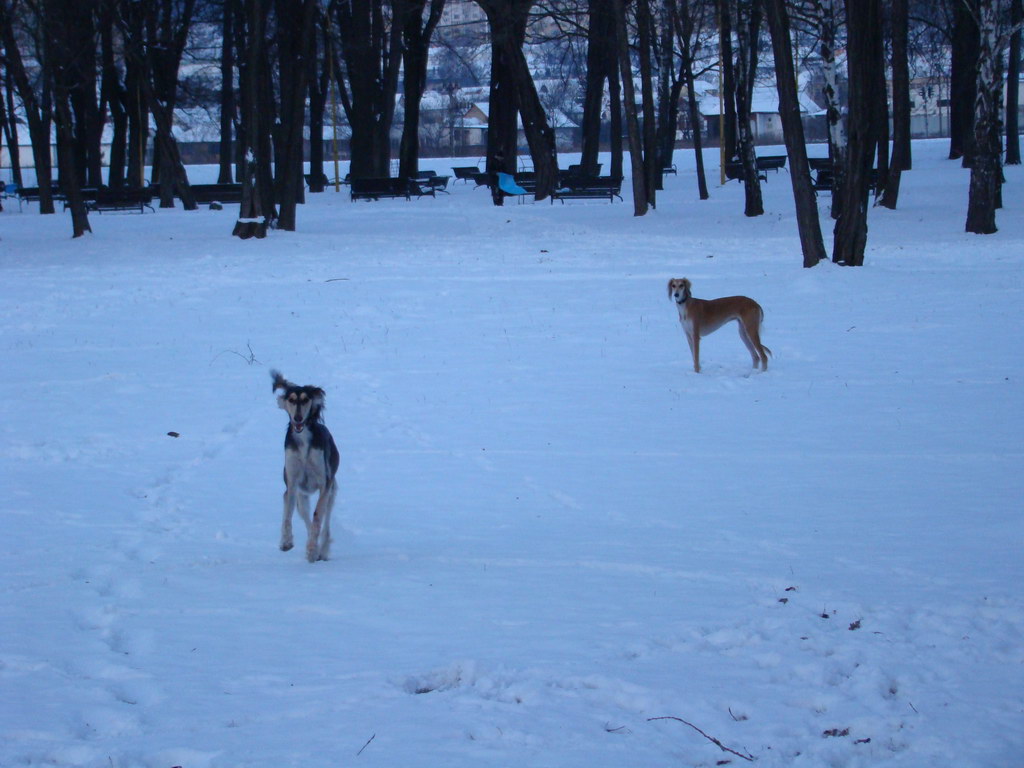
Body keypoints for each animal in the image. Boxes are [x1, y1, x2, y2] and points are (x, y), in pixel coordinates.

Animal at [270, 370, 337, 561]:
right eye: (291, 400)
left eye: (306, 399)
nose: (298, 418)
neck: (303, 440)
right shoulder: (292, 485)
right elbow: (287, 516)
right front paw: (286, 542)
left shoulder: (324, 484)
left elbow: (317, 517)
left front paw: (313, 549)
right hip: (302, 498)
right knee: (306, 518)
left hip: (332, 491)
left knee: (325, 521)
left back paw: (321, 549)